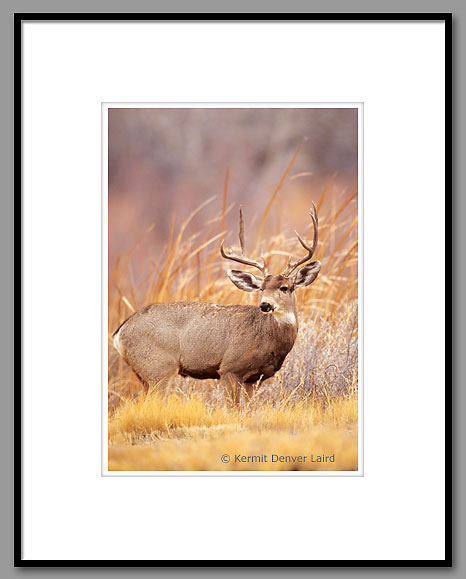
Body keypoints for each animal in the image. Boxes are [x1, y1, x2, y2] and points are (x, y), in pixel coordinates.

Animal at [113, 206, 320, 402]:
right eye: (261, 288)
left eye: (285, 288)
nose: (265, 305)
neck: (268, 338)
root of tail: (119, 332)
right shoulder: (229, 369)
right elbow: (233, 408)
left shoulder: (255, 378)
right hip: (159, 367)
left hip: (145, 374)